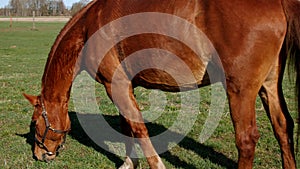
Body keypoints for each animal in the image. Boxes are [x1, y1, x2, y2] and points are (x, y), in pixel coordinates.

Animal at [24, 0, 300, 168]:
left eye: (35, 123)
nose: (39, 155)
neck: (90, 27)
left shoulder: (115, 84)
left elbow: (138, 128)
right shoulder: (123, 85)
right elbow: (127, 126)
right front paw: (129, 162)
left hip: (240, 90)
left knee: (246, 139)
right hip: (269, 86)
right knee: (283, 127)